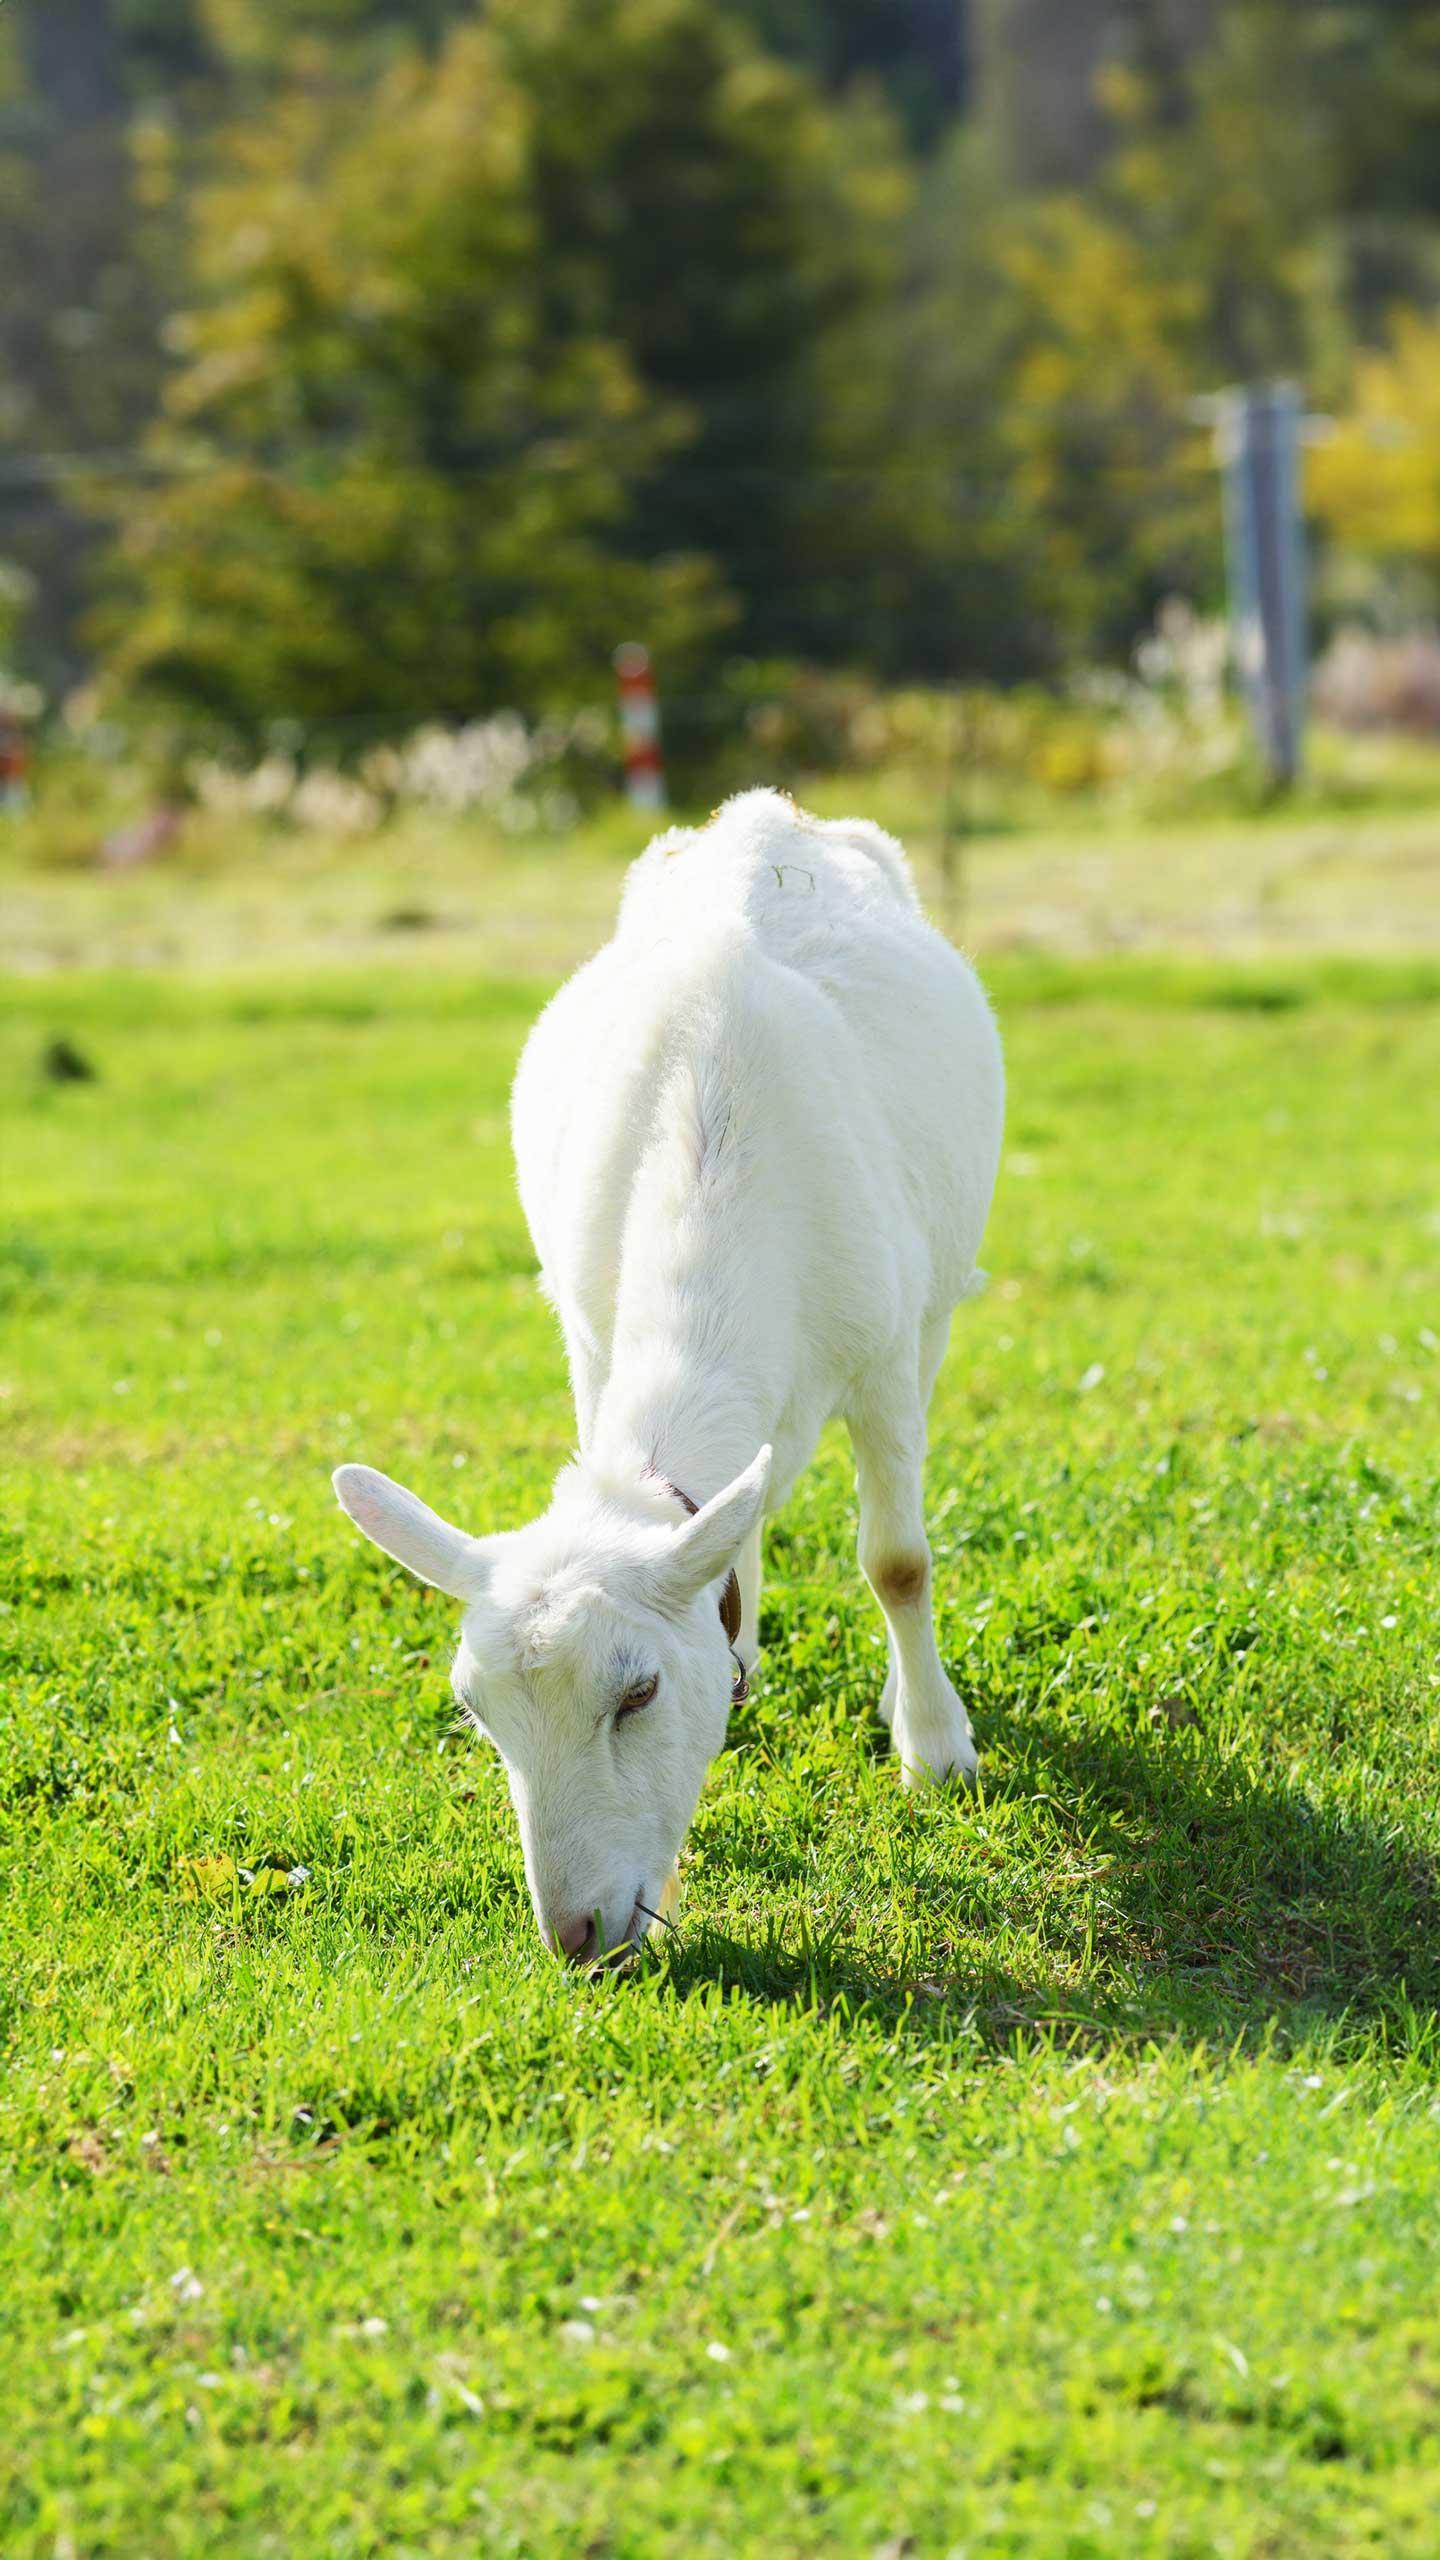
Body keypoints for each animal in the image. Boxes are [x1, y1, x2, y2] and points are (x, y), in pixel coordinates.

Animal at [334, 789, 1004, 1962]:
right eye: (478, 1711)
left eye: (638, 1693)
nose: (576, 1932)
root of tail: (764, 813)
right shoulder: (590, 1338)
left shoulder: (882, 1356)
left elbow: (899, 1562)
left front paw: (934, 1749)